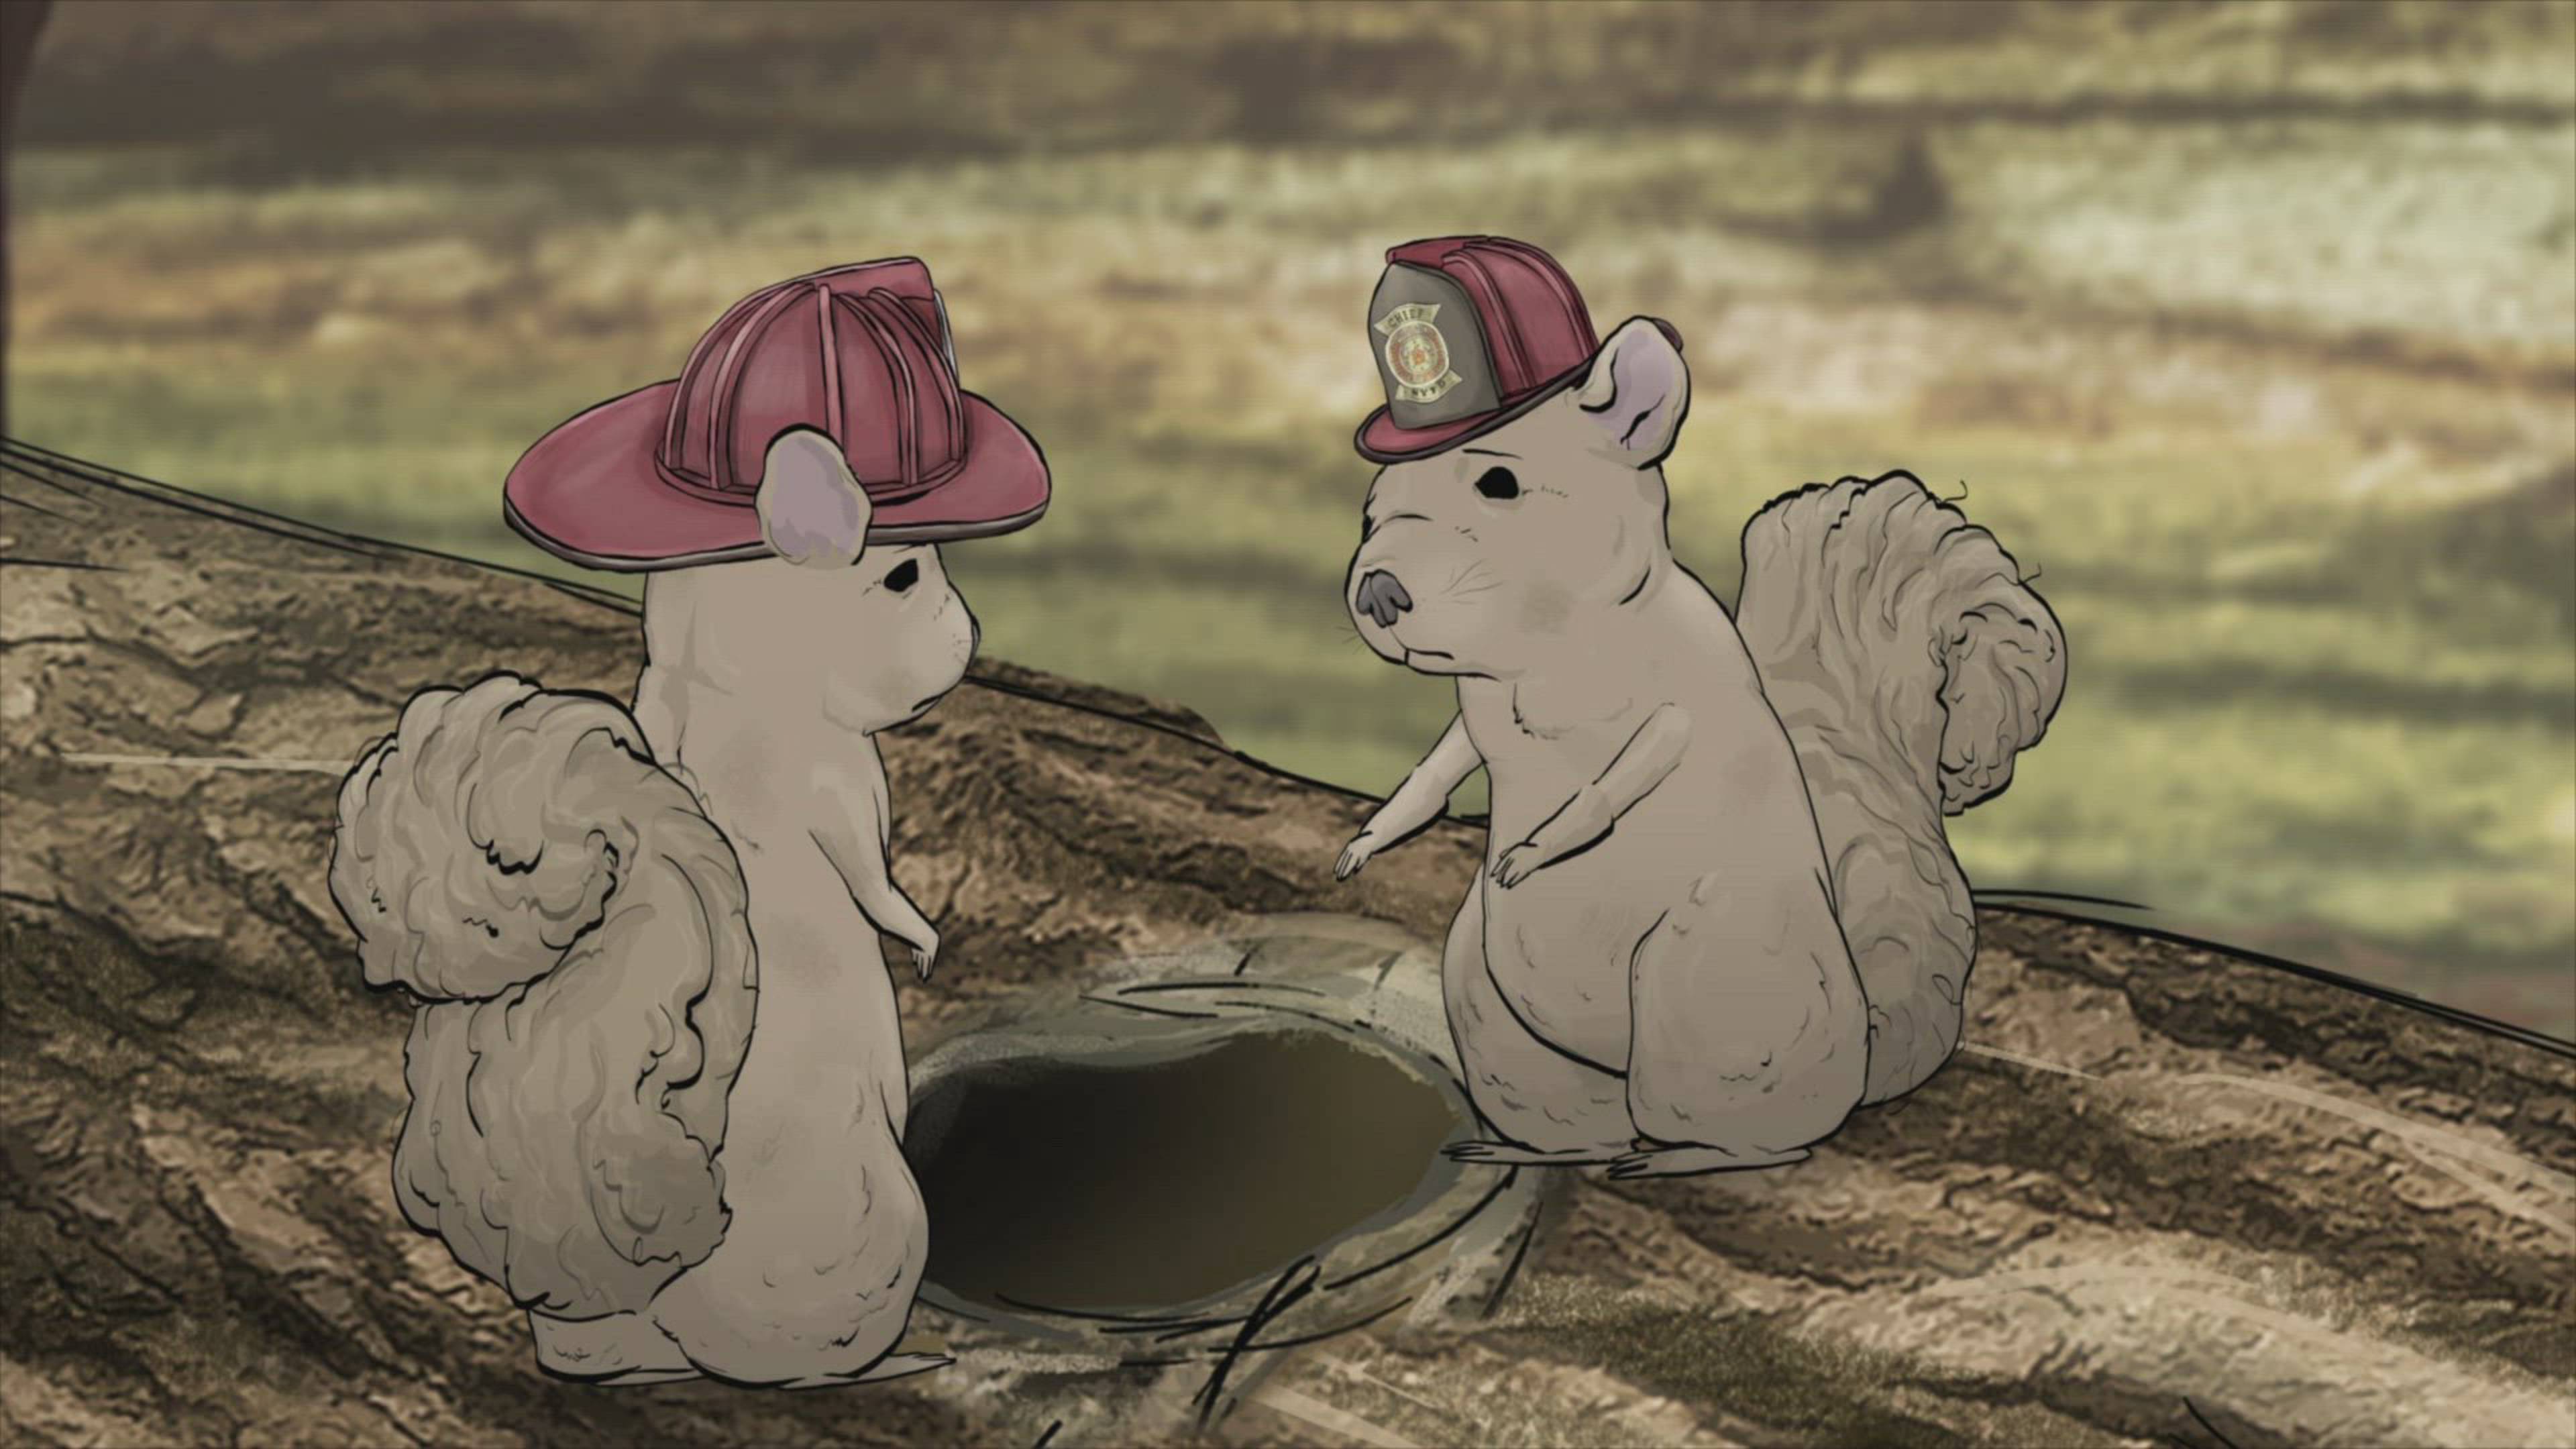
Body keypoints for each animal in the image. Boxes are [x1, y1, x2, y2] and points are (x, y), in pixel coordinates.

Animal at [329, 429, 968, 1386]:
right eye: (902, 576)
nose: (969, 635)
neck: (735, 684)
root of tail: (664, 1317)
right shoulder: (845, 788)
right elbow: (875, 881)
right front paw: (922, 936)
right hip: (883, 1230)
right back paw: (887, 1360)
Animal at [1335, 316, 2067, 1178]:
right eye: (1371, 512)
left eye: (1500, 484)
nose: (1379, 592)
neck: (1535, 660)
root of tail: (1860, 1060)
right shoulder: (1473, 716)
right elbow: (1437, 769)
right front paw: (1369, 841)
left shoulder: (1681, 695)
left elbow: (1637, 762)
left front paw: (1537, 850)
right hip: (1491, 1010)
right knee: (1592, 1130)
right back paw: (1530, 1150)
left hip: (1699, 993)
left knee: (1768, 1141)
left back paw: (1686, 1157)